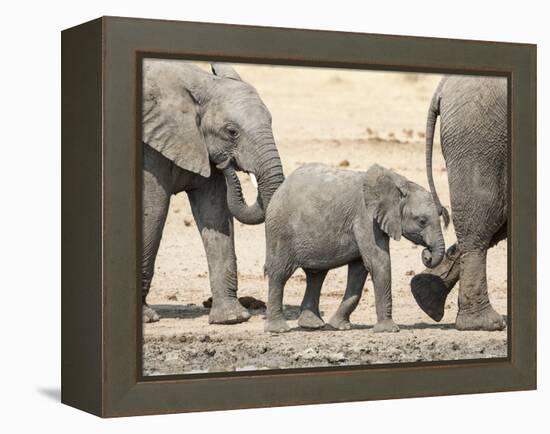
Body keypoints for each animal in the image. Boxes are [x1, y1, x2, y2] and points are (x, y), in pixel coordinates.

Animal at [143, 62, 284, 326]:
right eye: (231, 132)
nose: (227, 163)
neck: (201, 83)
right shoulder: (151, 149)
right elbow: (152, 211)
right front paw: (146, 318)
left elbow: (216, 212)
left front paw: (231, 319)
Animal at [264, 163, 448, 332]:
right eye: (422, 221)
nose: (427, 254)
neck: (399, 184)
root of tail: (280, 188)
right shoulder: (365, 218)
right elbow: (378, 262)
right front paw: (388, 330)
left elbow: (359, 271)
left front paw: (339, 326)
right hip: (280, 230)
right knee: (279, 274)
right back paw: (278, 329)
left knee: (316, 275)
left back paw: (312, 325)